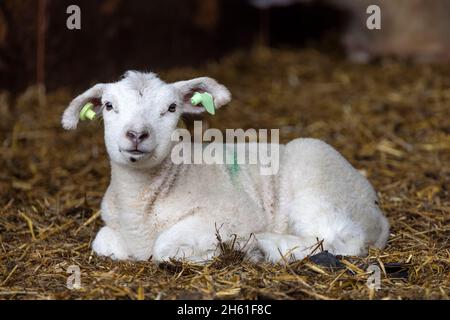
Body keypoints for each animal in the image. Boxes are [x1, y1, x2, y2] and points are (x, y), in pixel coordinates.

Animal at [61, 72, 388, 262]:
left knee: (343, 240)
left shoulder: (232, 217)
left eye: (171, 108)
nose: (137, 135)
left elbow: (164, 247)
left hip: (315, 183)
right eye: (108, 106)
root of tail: (378, 212)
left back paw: (266, 246)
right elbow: (102, 242)